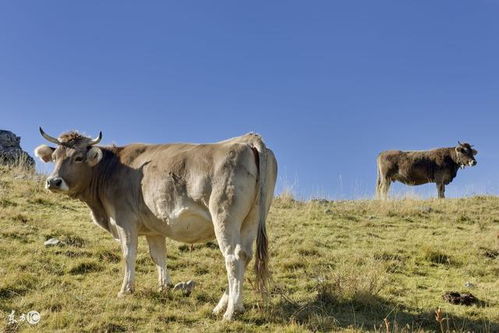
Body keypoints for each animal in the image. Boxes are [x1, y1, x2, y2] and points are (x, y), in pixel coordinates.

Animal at [35, 127, 278, 320]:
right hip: (252, 218)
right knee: (245, 255)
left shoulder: (124, 220)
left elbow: (129, 254)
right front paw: (164, 286)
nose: (53, 181)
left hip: (224, 216)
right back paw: (225, 306)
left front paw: (126, 290)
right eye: (55, 156)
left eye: (78, 157)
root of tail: (248, 139)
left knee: (233, 257)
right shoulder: (154, 228)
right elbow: (158, 256)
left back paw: (231, 312)